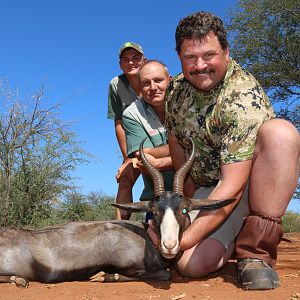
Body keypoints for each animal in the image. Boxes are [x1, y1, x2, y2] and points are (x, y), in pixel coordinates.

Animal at [0, 137, 234, 288]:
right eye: (154, 212)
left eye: (183, 209)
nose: (169, 245)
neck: (146, 239)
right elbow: (164, 274)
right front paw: (104, 276)